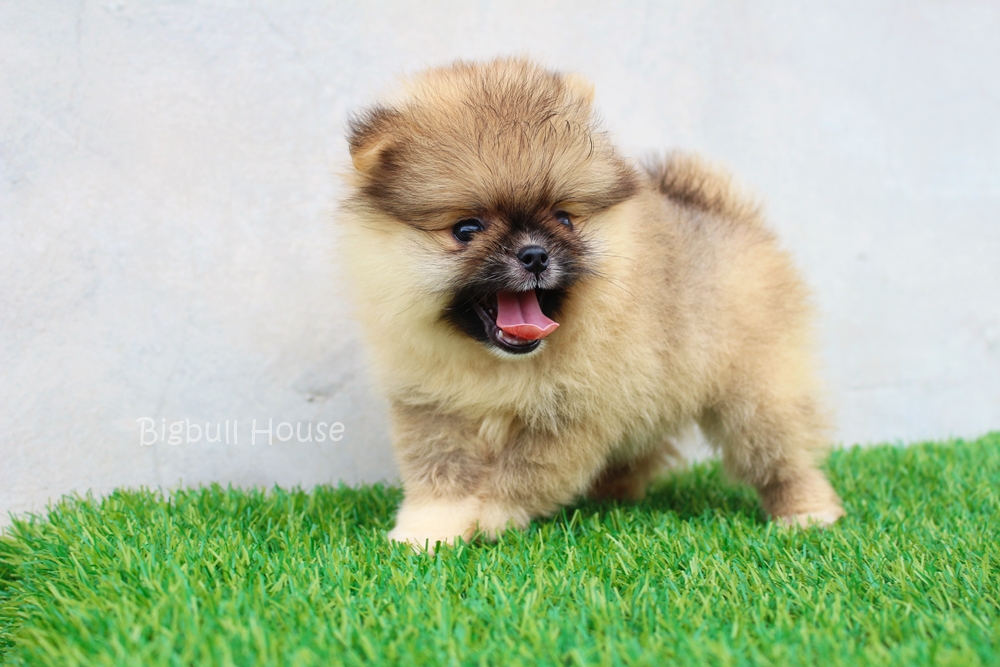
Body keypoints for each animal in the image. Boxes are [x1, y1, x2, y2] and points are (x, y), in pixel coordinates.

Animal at [338, 58, 845, 550]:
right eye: (467, 229)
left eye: (564, 218)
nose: (535, 254)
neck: (496, 364)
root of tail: (728, 214)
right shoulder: (431, 407)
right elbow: (439, 473)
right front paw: (427, 531)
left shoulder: (569, 417)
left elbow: (519, 475)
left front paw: (490, 518)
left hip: (759, 391)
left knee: (783, 452)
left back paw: (808, 512)